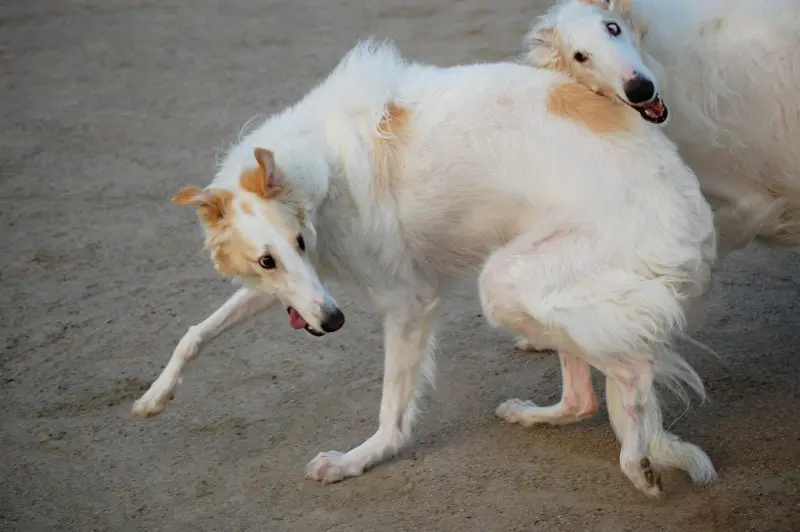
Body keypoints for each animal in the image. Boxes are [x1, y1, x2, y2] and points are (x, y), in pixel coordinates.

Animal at [134, 39, 716, 496]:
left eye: (300, 240)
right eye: (267, 259)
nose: (333, 323)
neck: (319, 173)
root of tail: (690, 206)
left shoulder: (405, 302)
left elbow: (392, 414)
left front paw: (355, 461)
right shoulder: (299, 285)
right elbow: (195, 333)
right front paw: (154, 398)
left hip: (506, 283)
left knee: (632, 371)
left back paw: (637, 462)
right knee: (583, 395)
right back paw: (531, 410)